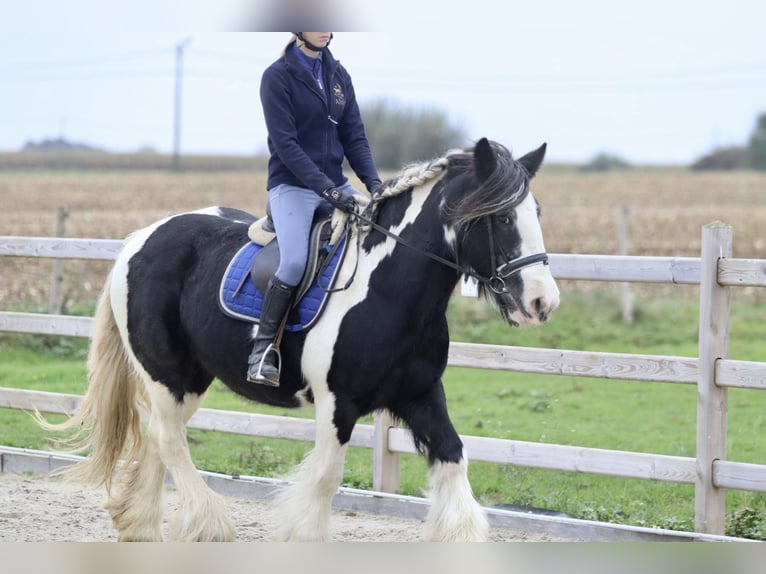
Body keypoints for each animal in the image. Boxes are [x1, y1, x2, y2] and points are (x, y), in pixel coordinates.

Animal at [39, 137, 560, 544]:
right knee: (170, 441)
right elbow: (326, 480)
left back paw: (142, 527)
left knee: (158, 440)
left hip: (190, 379)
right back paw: (208, 525)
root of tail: (141, 238)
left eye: (535, 212)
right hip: (167, 374)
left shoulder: (421, 394)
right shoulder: (338, 402)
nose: (542, 302)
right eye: (501, 219)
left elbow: (453, 458)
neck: (387, 288)